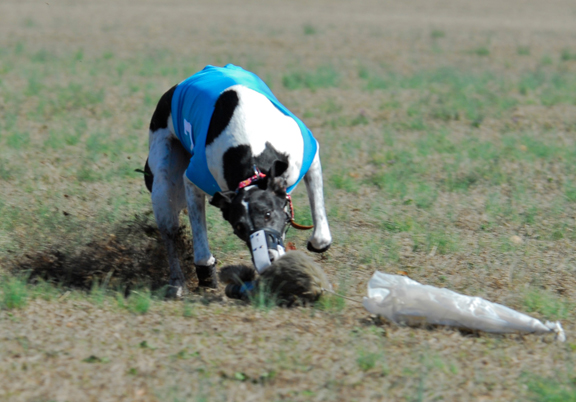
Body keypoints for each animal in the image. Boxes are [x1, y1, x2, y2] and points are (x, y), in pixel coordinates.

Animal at [145, 62, 332, 296]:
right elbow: (200, 241)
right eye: (239, 227)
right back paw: (177, 282)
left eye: (268, 214)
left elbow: (321, 229)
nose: (268, 259)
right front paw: (206, 271)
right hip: (164, 181)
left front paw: (317, 243)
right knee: (169, 230)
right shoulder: (194, 180)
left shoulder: (309, 157)